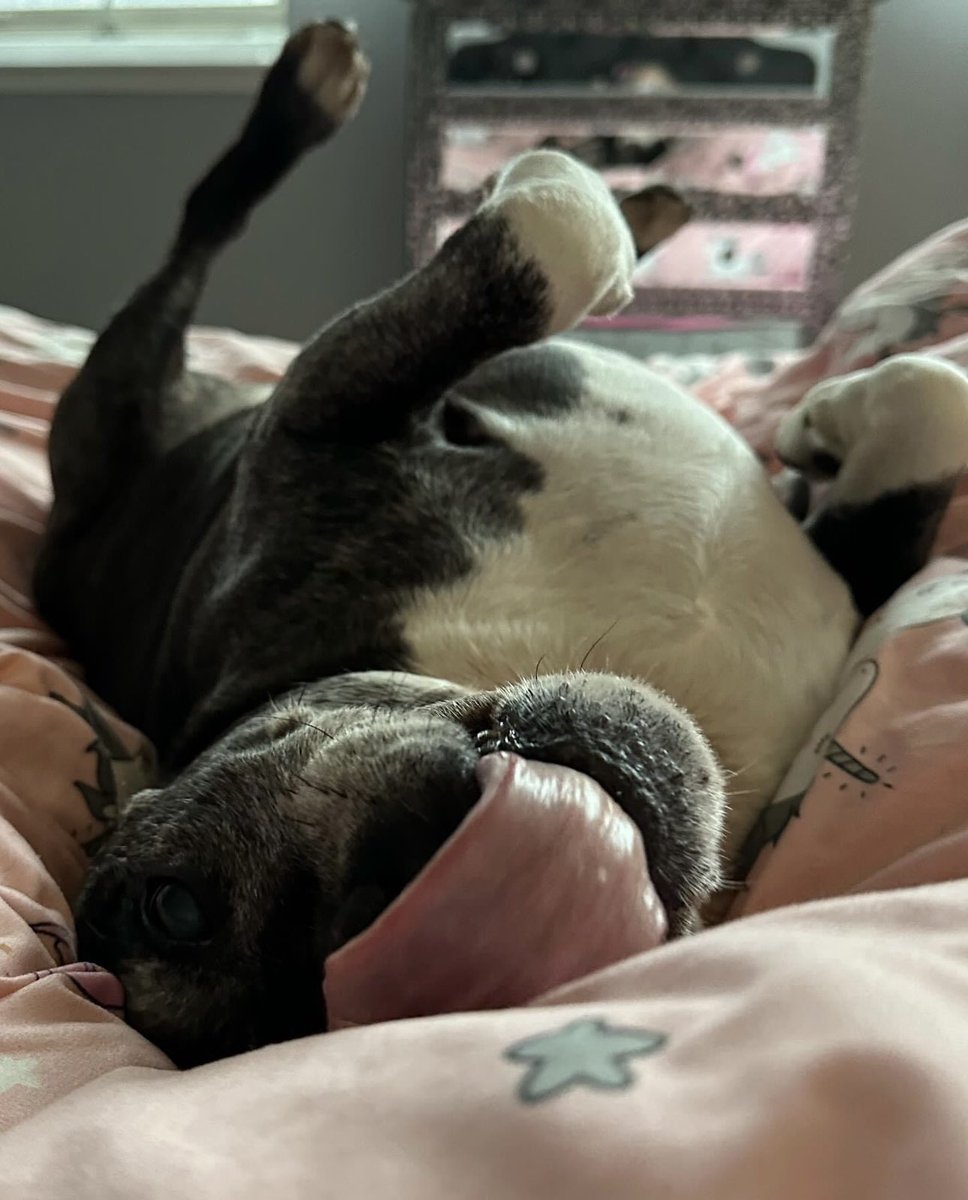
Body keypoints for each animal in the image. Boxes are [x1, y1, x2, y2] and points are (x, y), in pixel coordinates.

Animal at [35, 23, 968, 1070]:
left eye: (172, 907)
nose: (412, 874)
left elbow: (932, 396)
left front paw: (818, 416)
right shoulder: (325, 412)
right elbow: (550, 240)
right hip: (106, 401)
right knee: (201, 230)